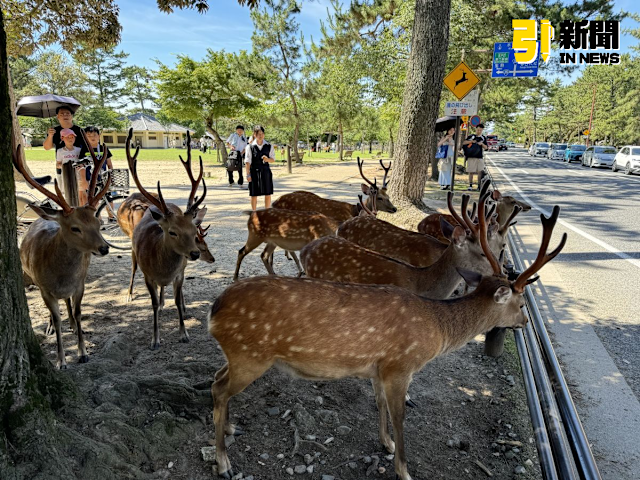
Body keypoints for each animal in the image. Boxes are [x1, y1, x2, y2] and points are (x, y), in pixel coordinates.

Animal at [13, 136, 111, 369]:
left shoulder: (79, 284)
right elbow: (57, 318)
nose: (104, 247)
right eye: (75, 228)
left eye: (97, 222)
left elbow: (78, 312)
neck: (60, 275)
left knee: (67, 304)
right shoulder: (44, 288)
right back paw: (50, 326)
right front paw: (61, 361)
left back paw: (74, 326)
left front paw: (83, 352)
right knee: (52, 312)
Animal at [126, 128, 207, 349]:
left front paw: (184, 333)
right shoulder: (148, 275)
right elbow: (153, 303)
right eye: (172, 231)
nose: (195, 253)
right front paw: (155, 339)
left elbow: (177, 300)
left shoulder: (179, 274)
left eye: (193, 229)